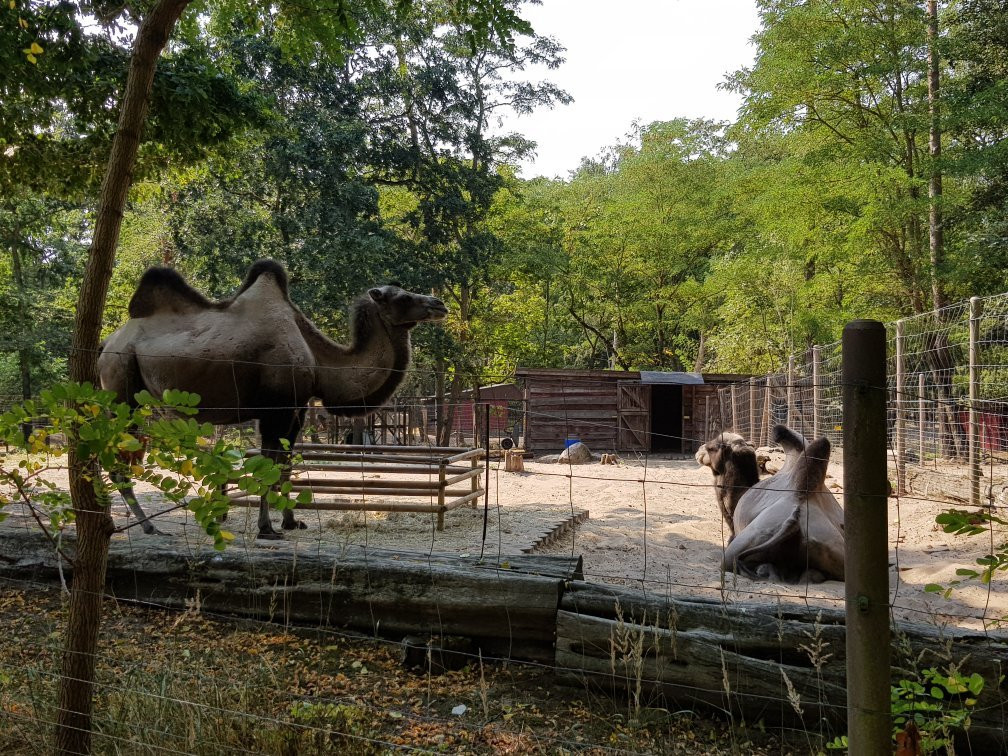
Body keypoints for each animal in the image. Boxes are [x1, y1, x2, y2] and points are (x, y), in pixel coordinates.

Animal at [98, 260, 445, 540]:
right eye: (403, 297)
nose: (439, 303)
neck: (319, 363)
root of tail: (107, 344)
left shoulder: (297, 408)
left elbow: (286, 466)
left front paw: (291, 522)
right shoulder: (274, 409)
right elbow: (268, 465)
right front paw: (267, 529)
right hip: (121, 383)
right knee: (114, 460)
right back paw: (148, 526)